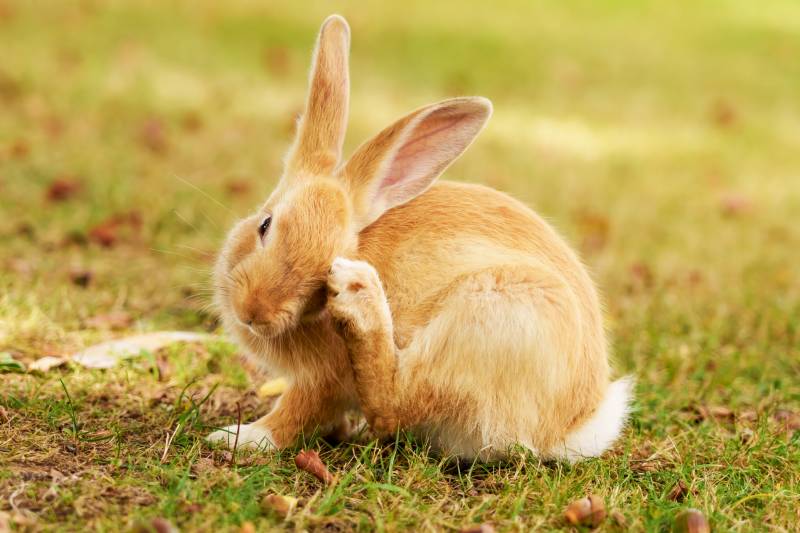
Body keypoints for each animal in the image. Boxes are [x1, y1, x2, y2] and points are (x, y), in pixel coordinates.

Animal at [207, 14, 633, 462]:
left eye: (326, 268)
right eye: (265, 225)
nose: (254, 312)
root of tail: (570, 427)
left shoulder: (323, 380)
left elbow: (295, 416)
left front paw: (239, 436)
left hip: (489, 316)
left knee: (395, 404)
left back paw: (361, 297)